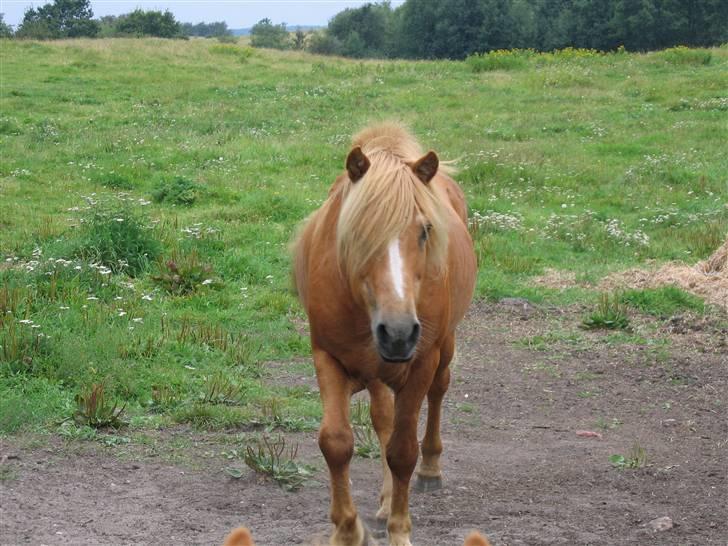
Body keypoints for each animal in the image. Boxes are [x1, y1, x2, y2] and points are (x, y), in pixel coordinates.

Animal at [290, 123, 478, 544]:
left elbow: (402, 451)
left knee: (437, 393)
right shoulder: (327, 356)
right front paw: (348, 529)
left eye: (425, 231)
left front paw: (399, 530)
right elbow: (337, 442)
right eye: (358, 230)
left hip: (443, 349)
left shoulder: (421, 362)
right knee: (383, 418)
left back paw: (430, 470)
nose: (398, 332)